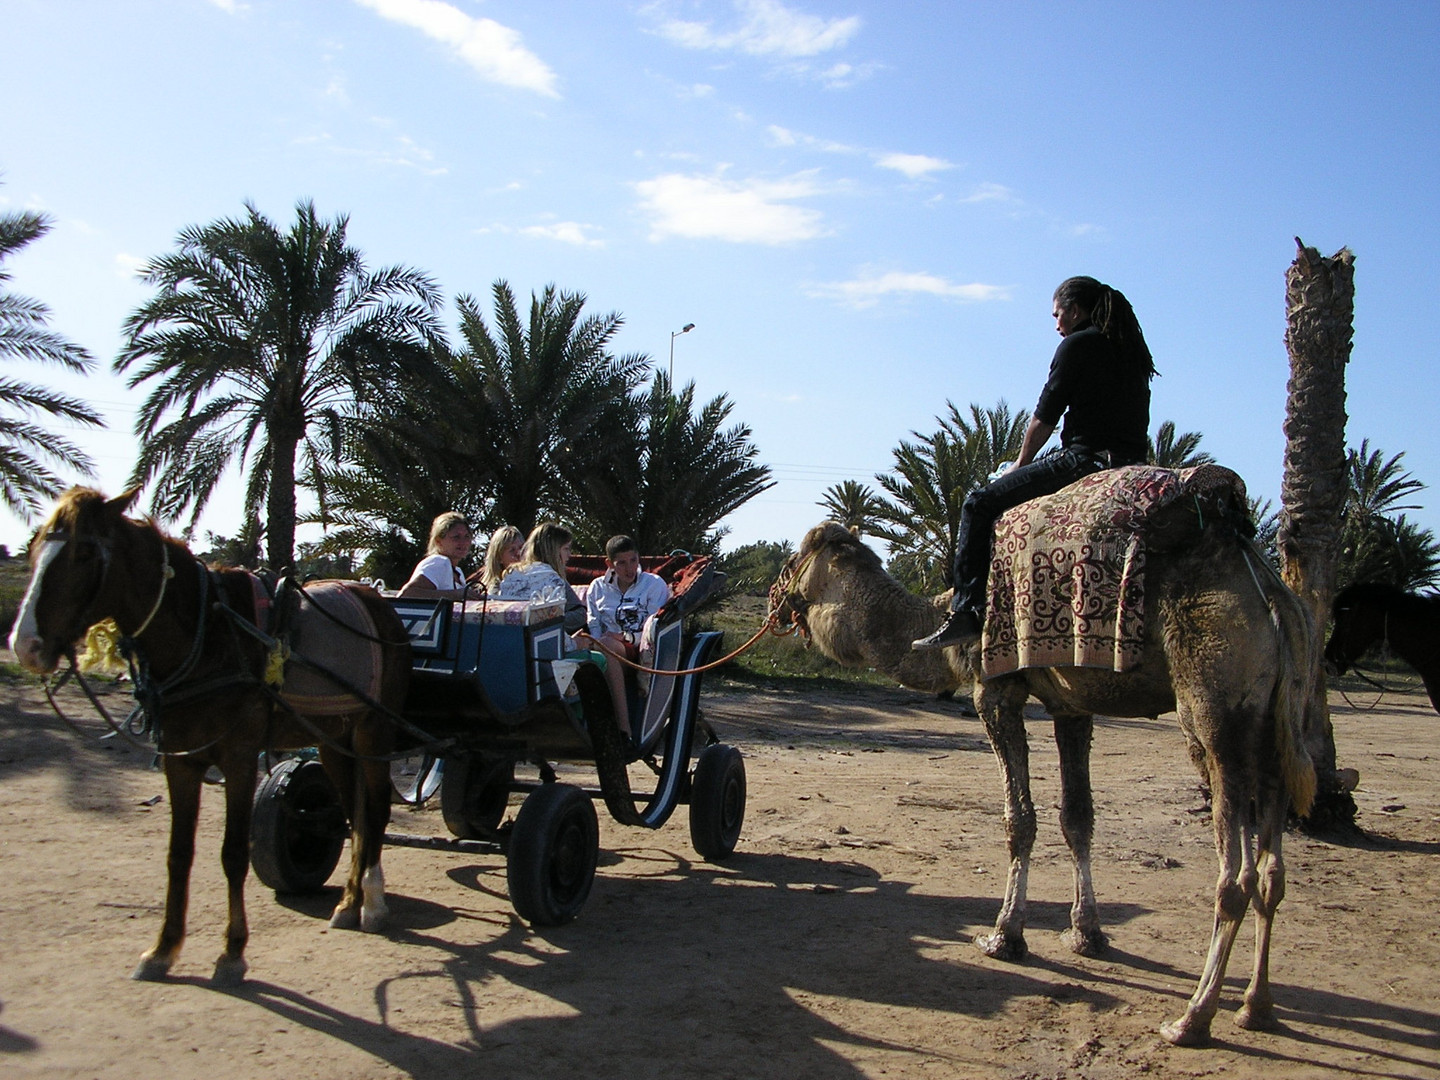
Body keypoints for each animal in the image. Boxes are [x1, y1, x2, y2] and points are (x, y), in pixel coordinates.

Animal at [9, 489, 411, 990]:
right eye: (33, 549)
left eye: (83, 551)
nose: (25, 645)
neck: (208, 636)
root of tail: (376, 598)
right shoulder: (180, 760)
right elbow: (178, 855)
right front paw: (163, 949)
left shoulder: (238, 758)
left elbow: (233, 854)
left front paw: (232, 953)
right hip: (334, 738)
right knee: (355, 813)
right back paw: (349, 902)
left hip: (374, 733)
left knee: (375, 809)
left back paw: (372, 902)